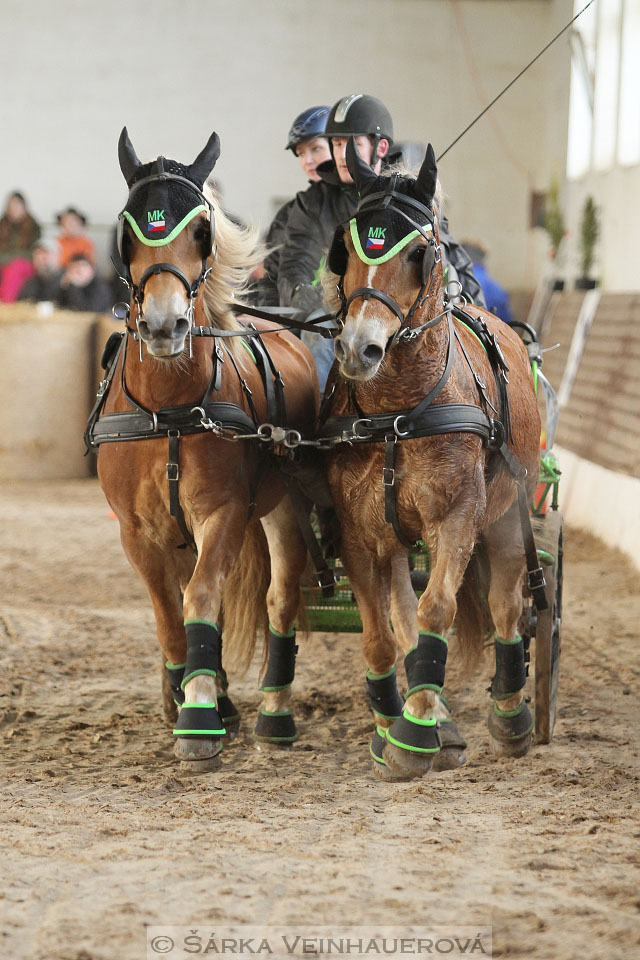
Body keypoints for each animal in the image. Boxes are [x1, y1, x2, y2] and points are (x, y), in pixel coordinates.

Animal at [90, 129, 318, 772]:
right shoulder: (136, 530)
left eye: (201, 232)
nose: (165, 325)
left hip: (282, 507)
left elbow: (202, 598)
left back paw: (272, 713)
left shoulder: (224, 513)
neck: (167, 408)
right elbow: (171, 615)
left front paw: (197, 715)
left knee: (280, 598)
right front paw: (188, 698)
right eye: (129, 229)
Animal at [322, 142, 544, 784]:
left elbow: (439, 608)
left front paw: (415, 734)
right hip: (399, 537)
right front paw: (399, 728)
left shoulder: (458, 517)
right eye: (347, 247)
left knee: (507, 606)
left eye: (419, 252)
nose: (358, 348)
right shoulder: (358, 533)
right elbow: (383, 634)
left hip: (507, 515)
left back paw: (511, 715)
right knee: (404, 612)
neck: (397, 413)